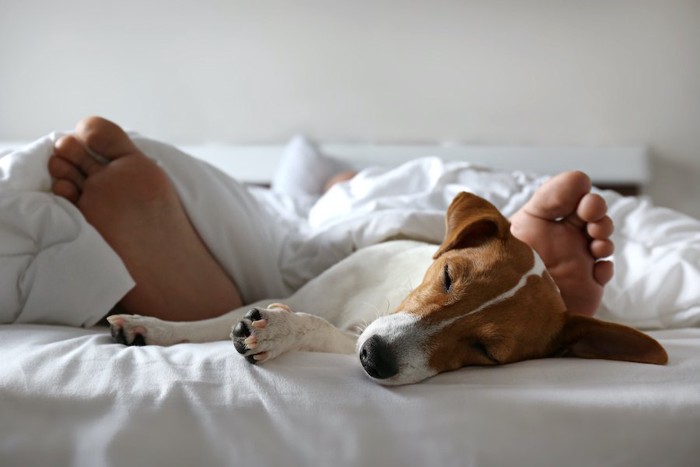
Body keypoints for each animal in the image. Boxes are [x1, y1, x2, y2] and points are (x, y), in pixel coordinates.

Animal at [108, 192, 668, 386]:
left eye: (488, 352)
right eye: (448, 277)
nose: (375, 358)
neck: (376, 302)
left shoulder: (349, 337)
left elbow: (316, 328)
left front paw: (281, 331)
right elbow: (208, 321)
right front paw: (149, 326)